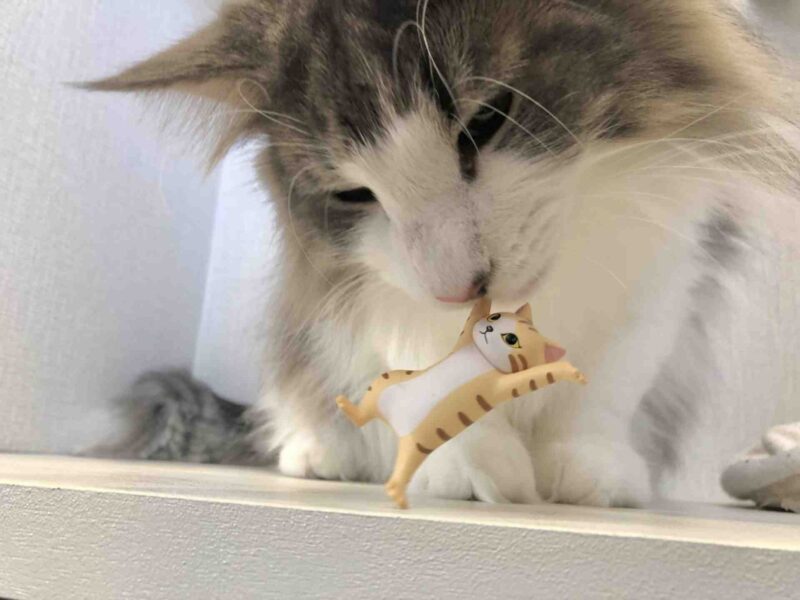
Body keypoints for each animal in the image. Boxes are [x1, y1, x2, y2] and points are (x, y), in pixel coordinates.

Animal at [87, 0, 800, 507]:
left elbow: (608, 385)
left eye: (486, 120)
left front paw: (585, 465)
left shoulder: (671, 263)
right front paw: (466, 466)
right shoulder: (375, 293)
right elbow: (430, 377)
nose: (460, 287)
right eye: (353, 193)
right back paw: (320, 453)